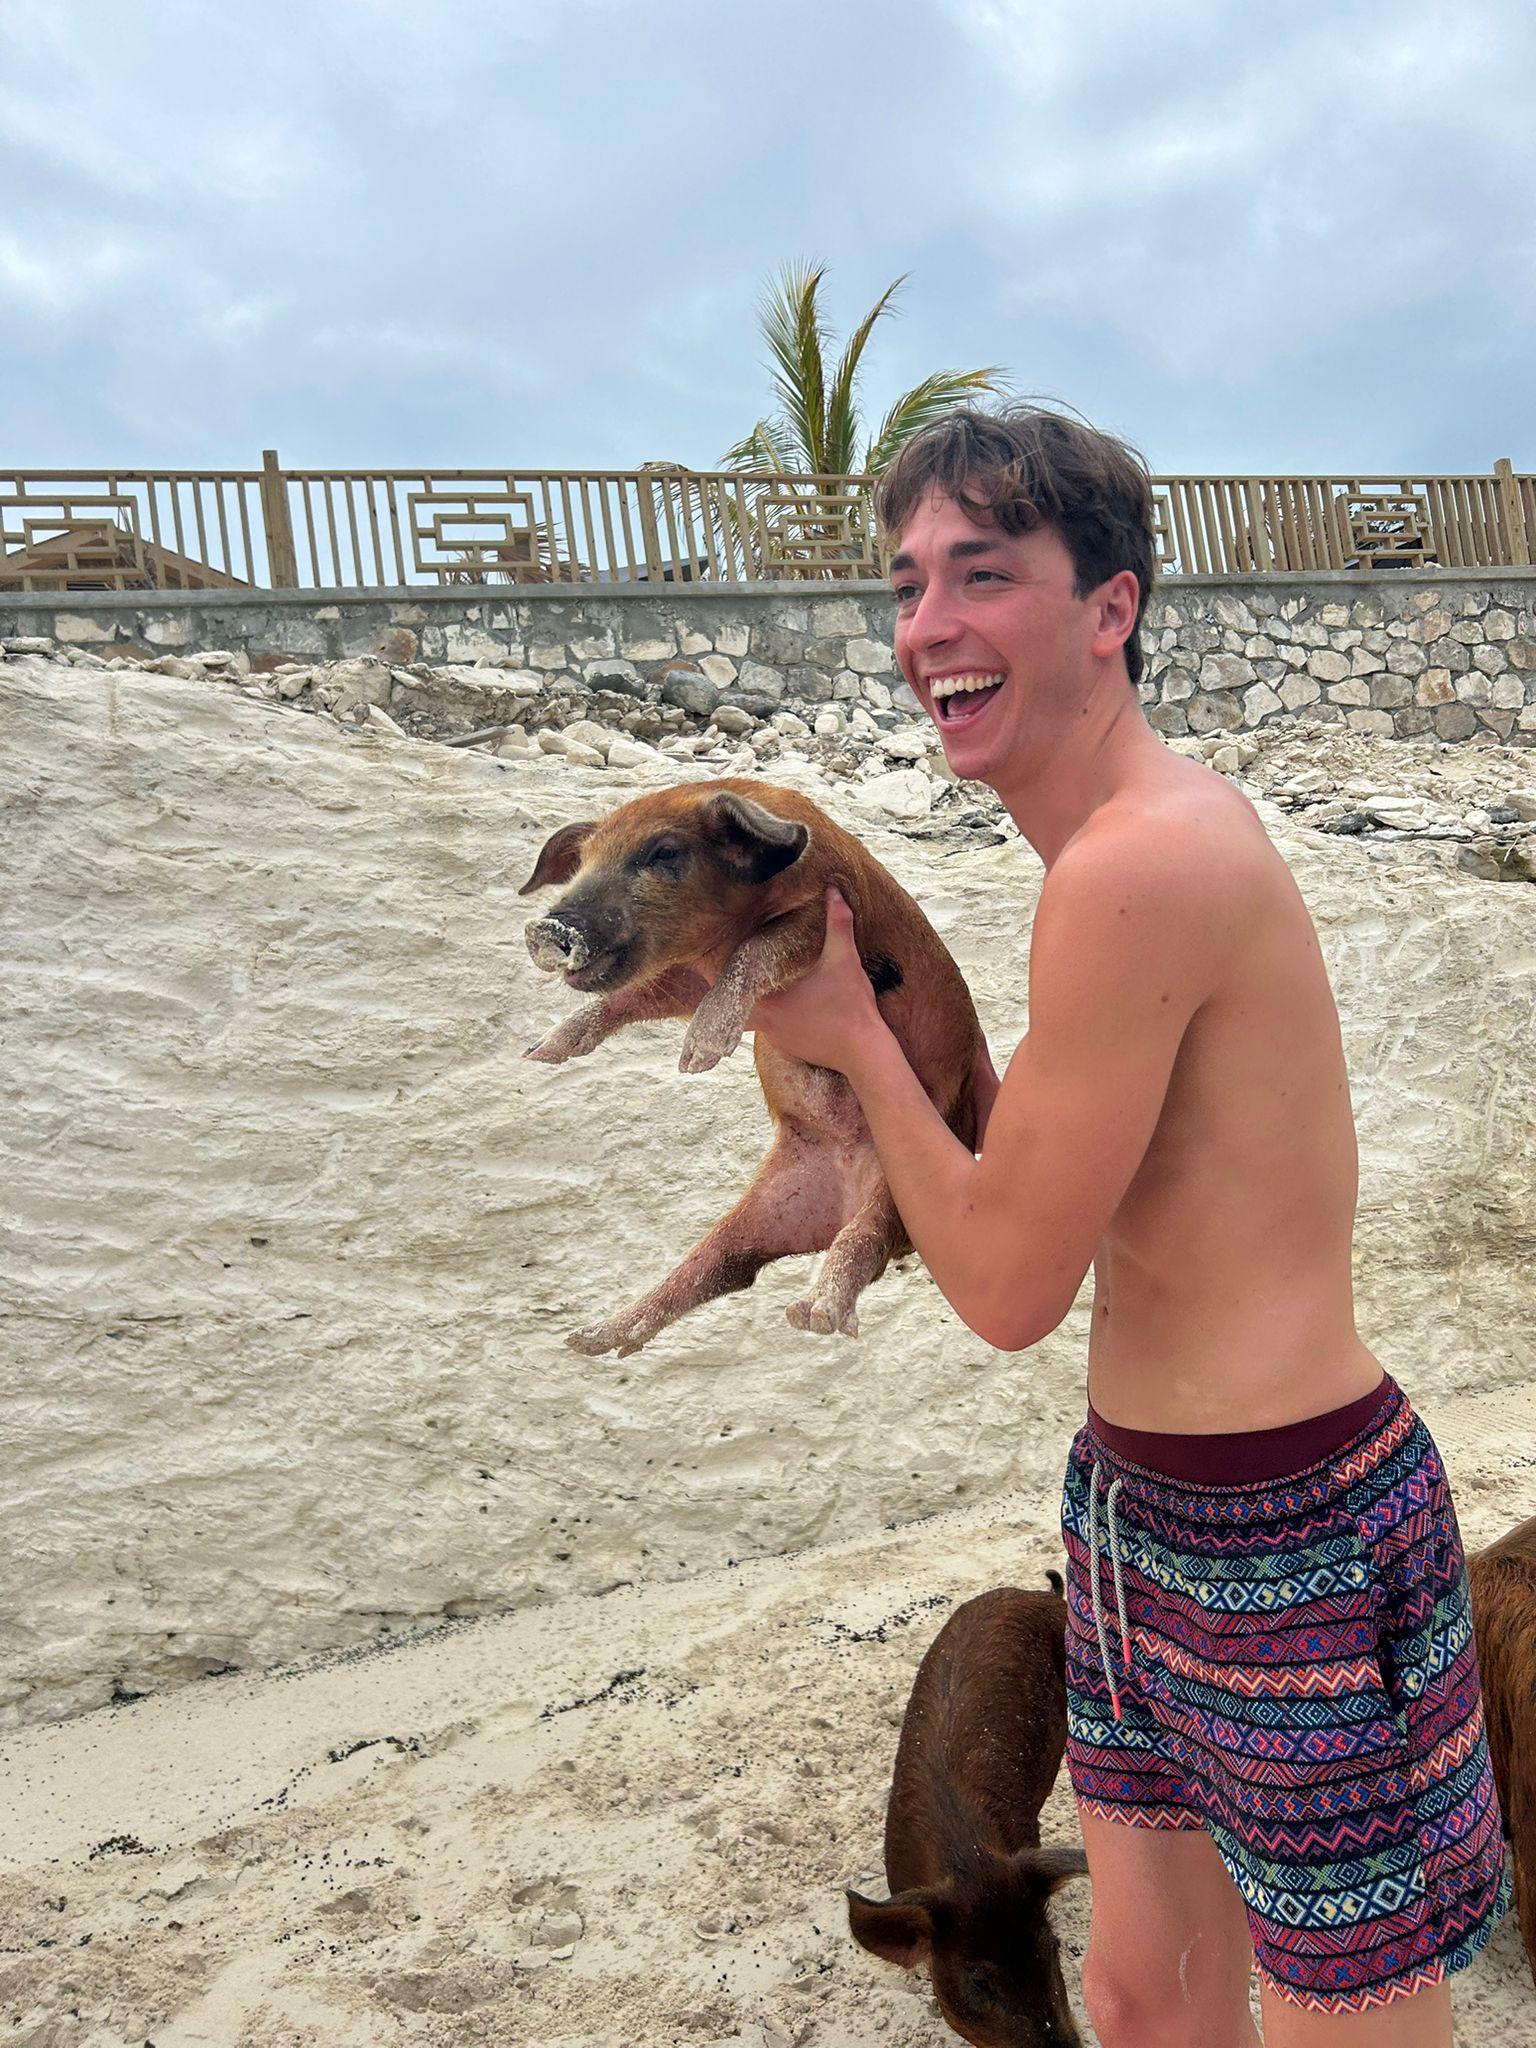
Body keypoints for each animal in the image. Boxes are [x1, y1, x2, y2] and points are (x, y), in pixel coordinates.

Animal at [518, 778, 987, 1358]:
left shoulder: (826, 914)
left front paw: (696, 1058)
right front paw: (539, 1053)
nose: (547, 925)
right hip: (771, 1206)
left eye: (664, 853)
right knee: (719, 1265)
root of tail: (845, 1190)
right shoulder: (688, 977)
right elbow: (632, 997)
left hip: (903, 1191)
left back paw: (814, 1315)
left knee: (864, 1240)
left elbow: (760, 947)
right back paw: (592, 1339)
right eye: (582, 860)